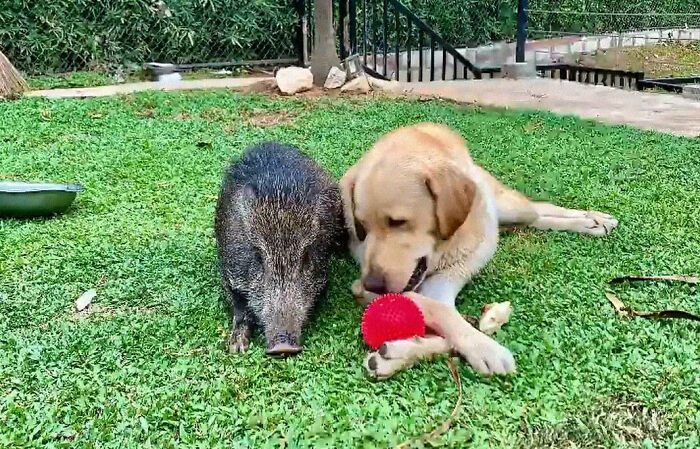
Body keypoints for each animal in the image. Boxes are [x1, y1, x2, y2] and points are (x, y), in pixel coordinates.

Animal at [215, 142, 344, 356]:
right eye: (258, 257)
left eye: (306, 257)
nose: (284, 347)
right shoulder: (229, 274)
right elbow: (239, 308)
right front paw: (236, 347)